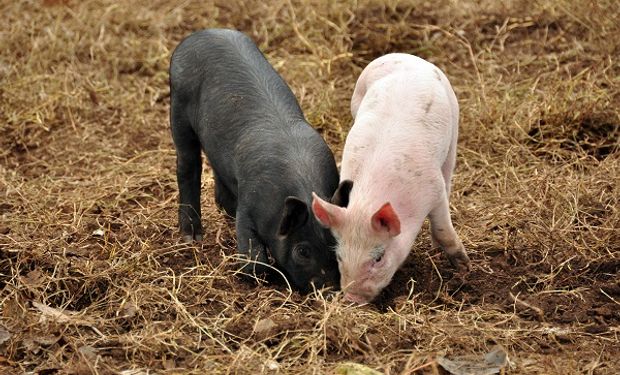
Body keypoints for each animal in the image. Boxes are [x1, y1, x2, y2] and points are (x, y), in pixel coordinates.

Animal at [171, 30, 340, 294]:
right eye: (302, 251)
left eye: (336, 243)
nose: (330, 290)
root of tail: (199, 34)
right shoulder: (249, 205)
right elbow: (254, 255)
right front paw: (255, 276)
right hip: (178, 111)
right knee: (187, 166)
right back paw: (192, 237)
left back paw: (225, 209)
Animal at [312, 53, 472, 304]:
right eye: (339, 256)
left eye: (378, 257)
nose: (352, 298)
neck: (368, 201)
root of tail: (405, 56)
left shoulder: (433, 191)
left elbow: (443, 229)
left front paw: (464, 267)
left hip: (454, 128)